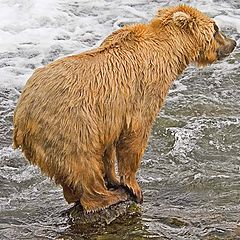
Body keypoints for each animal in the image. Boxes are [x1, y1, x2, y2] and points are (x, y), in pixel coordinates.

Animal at [12, 5, 235, 212]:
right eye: (216, 28)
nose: (233, 43)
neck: (169, 52)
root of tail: (21, 117)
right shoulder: (142, 92)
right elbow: (135, 136)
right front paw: (133, 187)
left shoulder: (109, 114)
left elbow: (109, 147)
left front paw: (115, 179)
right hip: (69, 124)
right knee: (82, 162)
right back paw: (107, 197)